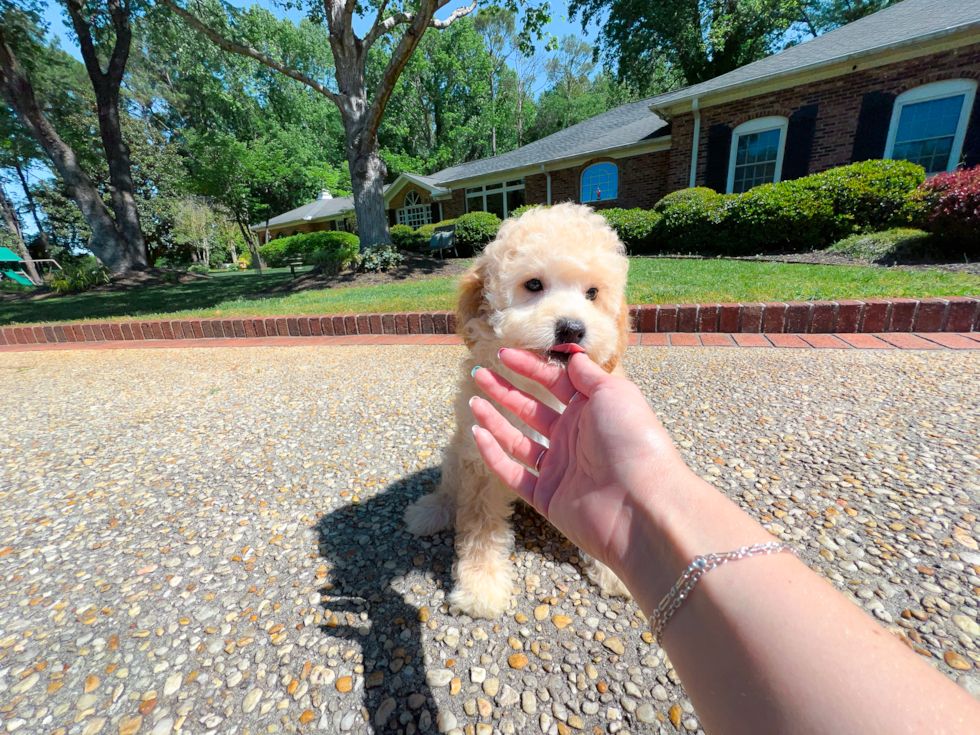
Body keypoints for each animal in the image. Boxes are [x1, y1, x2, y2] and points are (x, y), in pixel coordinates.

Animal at [406, 203, 636, 620]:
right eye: (533, 285)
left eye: (593, 293)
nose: (572, 329)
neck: (539, 390)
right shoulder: (481, 452)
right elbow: (480, 526)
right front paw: (480, 588)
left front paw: (616, 570)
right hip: (458, 447)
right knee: (450, 488)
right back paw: (431, 510)